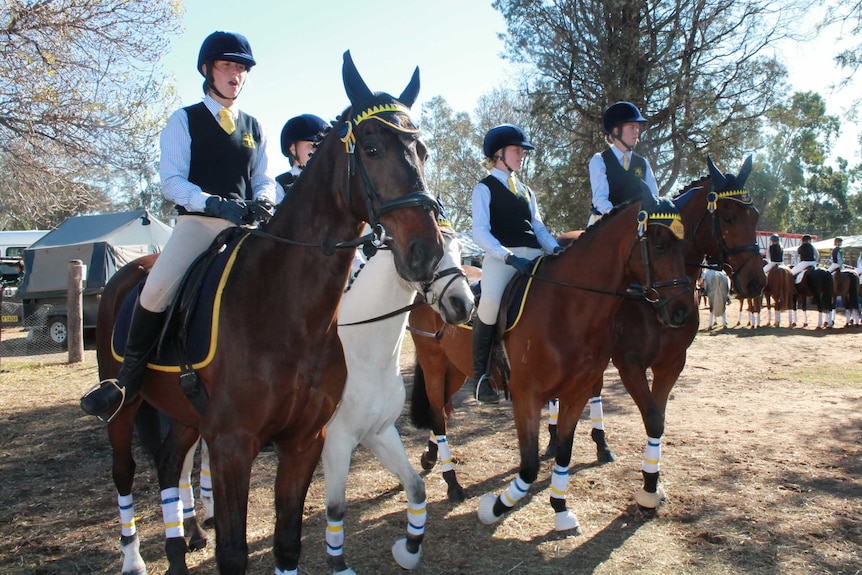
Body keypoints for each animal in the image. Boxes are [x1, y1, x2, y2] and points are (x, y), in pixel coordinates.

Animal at [95, 50, 446, 575]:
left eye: (421, 151)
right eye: (370, 148)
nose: (425, 252)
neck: (289, 316)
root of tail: (131, 270)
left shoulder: (304, 440)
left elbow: (287, 542)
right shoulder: (232, 446)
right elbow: (234, 553)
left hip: (185, 414)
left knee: (169, 463)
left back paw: (180, 547)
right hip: (125, 406)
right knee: (125, 469)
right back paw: (135, 558)